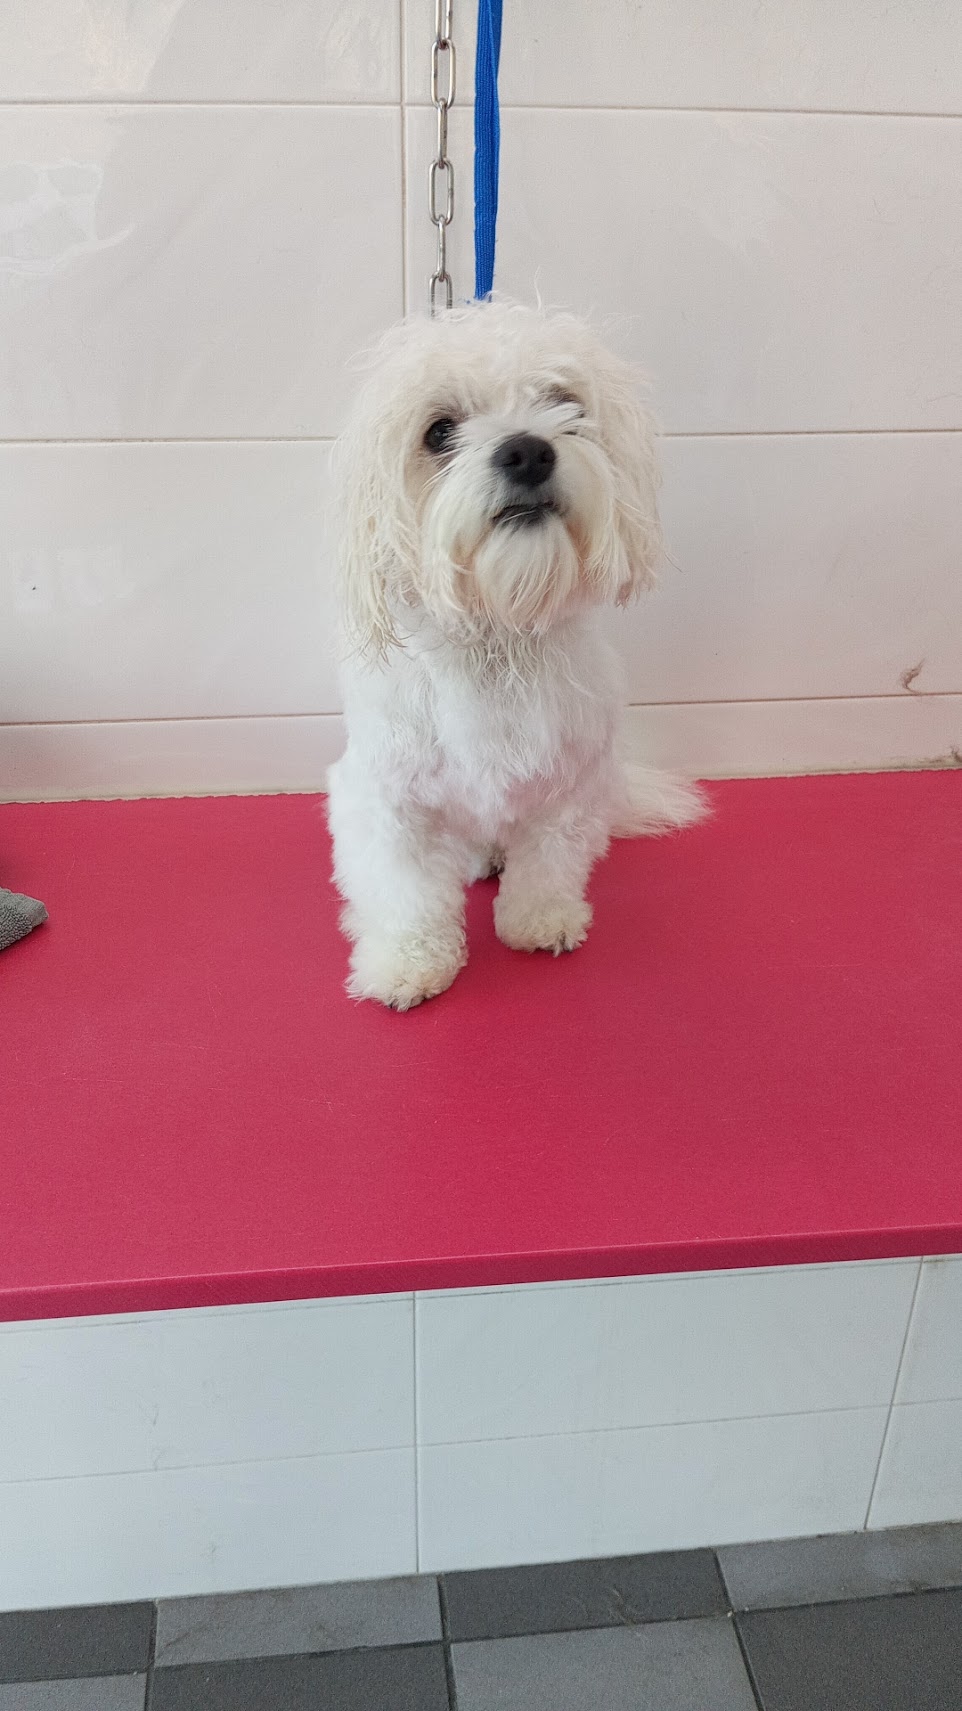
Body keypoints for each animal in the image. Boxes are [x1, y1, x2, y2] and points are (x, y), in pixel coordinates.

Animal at [327, 301, 704, 1009]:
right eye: (440, 432)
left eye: (565, 404)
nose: (528, 449)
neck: (498, 638)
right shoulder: (386, 798)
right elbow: (405, 891)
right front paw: (407, 963)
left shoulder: (574, 779)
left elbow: (550, 859)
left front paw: (541, 921)